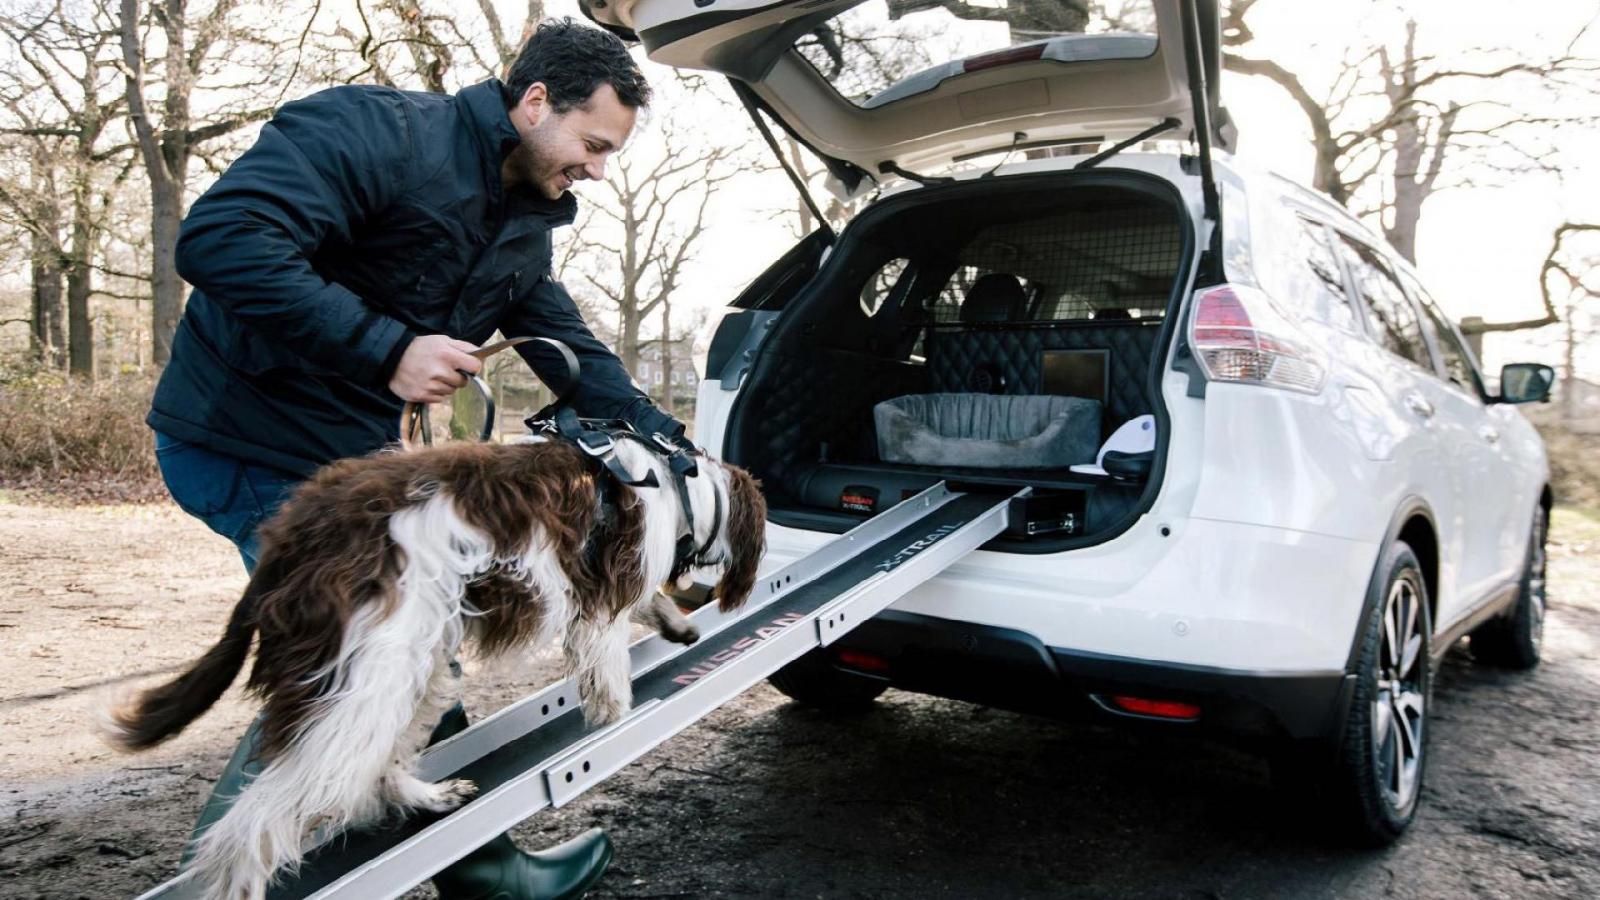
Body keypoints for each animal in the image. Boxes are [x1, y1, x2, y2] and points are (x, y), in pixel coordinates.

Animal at [103, 432, 764, 890]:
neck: (677, 484)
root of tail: (291, 538)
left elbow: (645, 607)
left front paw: (676, 623)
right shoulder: (600, 601)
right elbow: (610, 675)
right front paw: (619, 719)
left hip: (410, 665)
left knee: (372, 768)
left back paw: (428, 797)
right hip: (366, 675)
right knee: (251, 826)